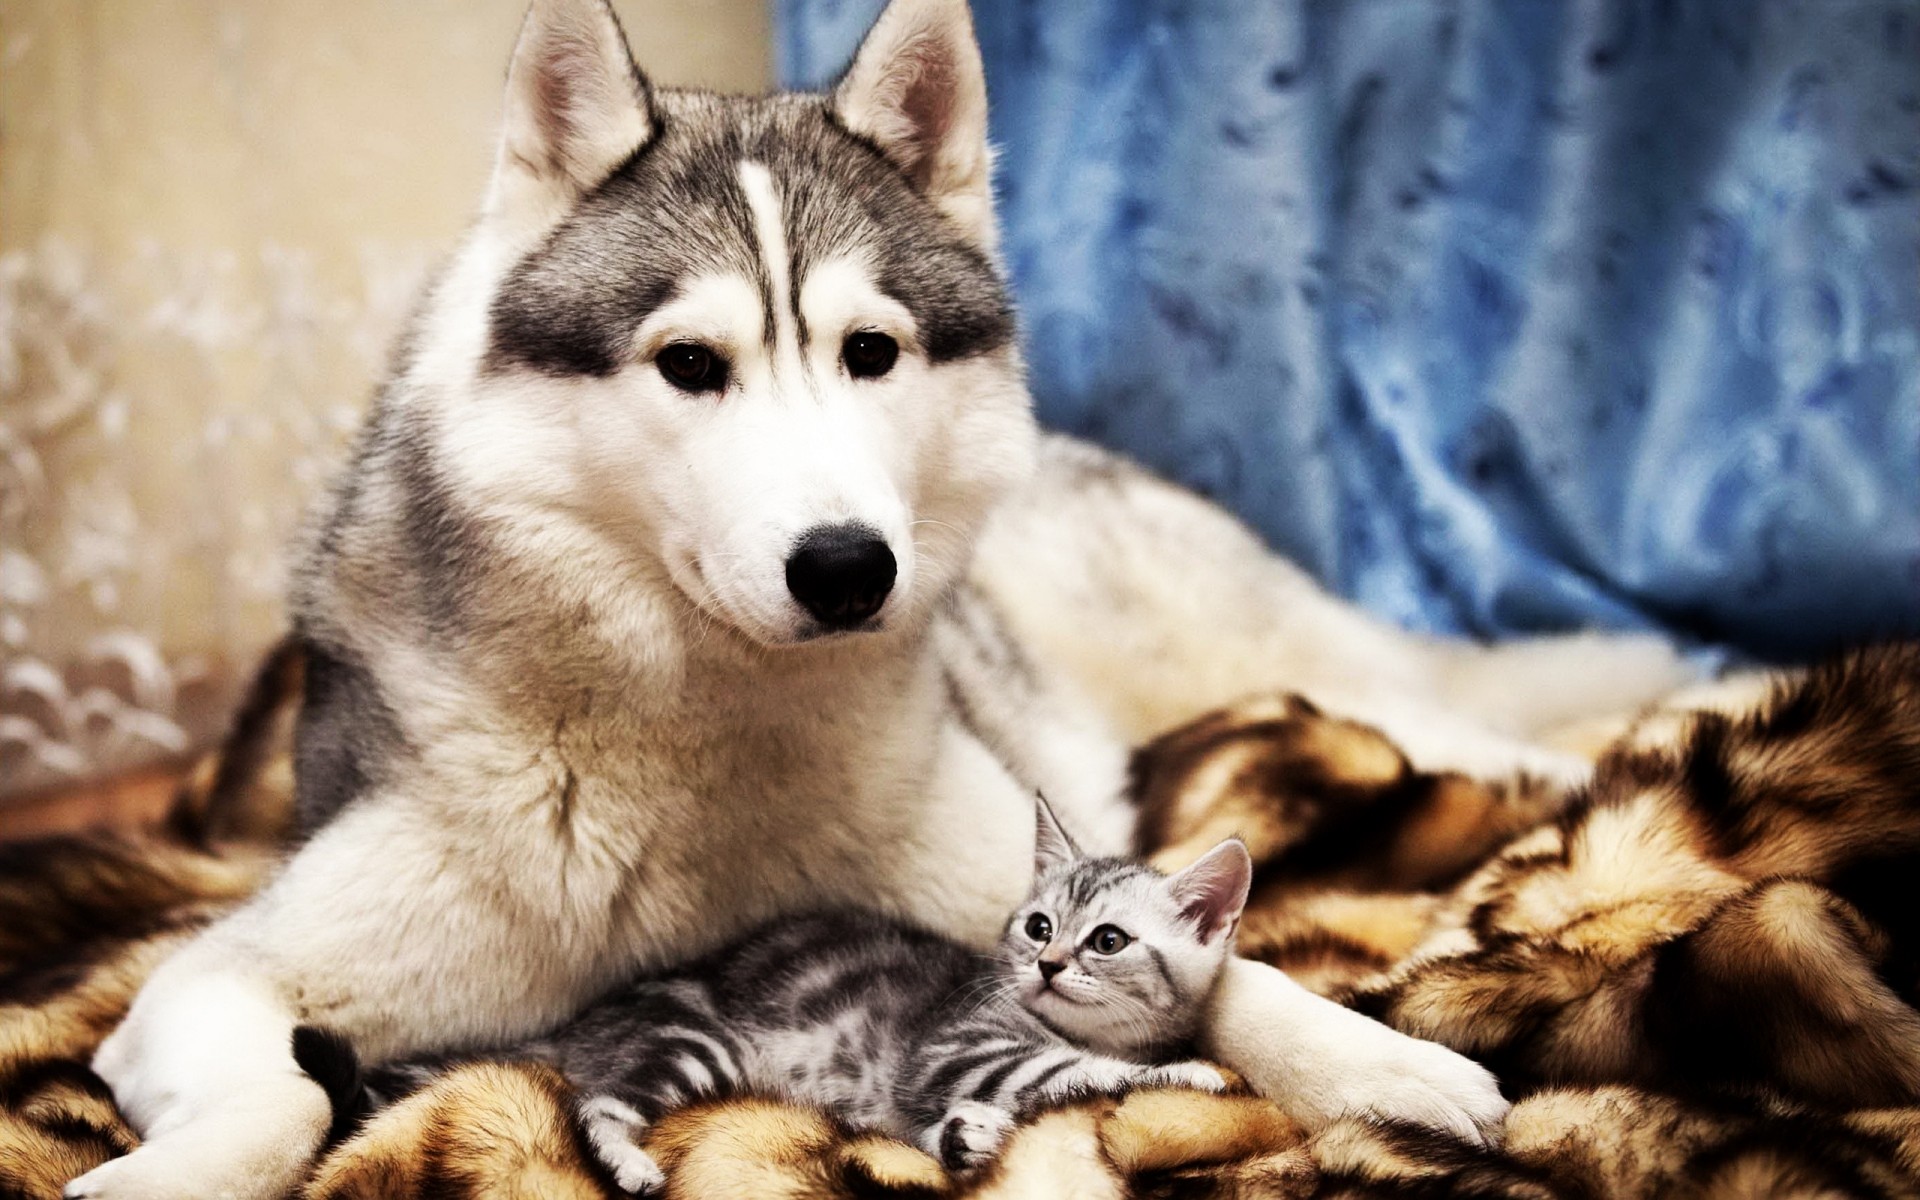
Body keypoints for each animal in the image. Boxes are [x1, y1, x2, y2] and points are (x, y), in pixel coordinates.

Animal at [360, 794, 1259, 1190]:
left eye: (1106, 941)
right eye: (1038, 927)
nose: (1047, 966)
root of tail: (589, 1019)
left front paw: (967, 1140)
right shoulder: (958, 1050)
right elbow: (1076, 1071)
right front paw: (1188, 1071)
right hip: (694, 1040)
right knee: (596, 1105)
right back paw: (627, 1162)